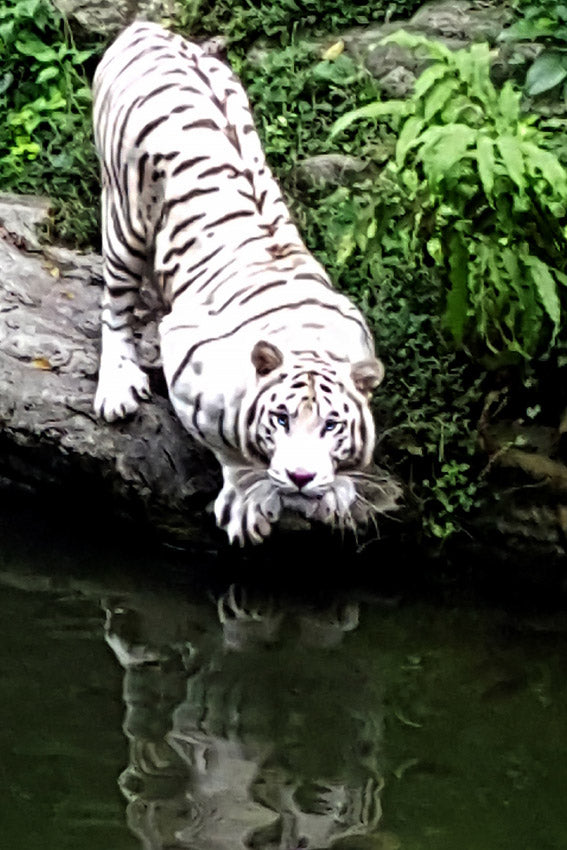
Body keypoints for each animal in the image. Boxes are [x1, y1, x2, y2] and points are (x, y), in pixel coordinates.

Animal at [91, 23, 400, 548]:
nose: (301, 478)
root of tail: (145, 27)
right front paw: (248, 500)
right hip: (124, 217)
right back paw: (118, 386)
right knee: (115, 306)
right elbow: (230, 452)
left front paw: (335, 492)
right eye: (281, 418)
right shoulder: (188, 364)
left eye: (332, 425)